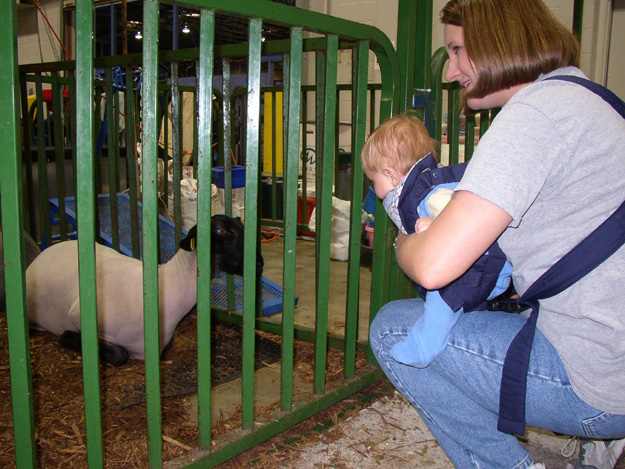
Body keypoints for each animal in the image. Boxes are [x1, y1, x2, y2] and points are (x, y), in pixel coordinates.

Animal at [25, 215, 260, 366]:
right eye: (220, 230)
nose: (259, 263)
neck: (168, 284)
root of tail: (45, 252)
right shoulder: (78, 314)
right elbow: (120, 355)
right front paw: (67, 337)